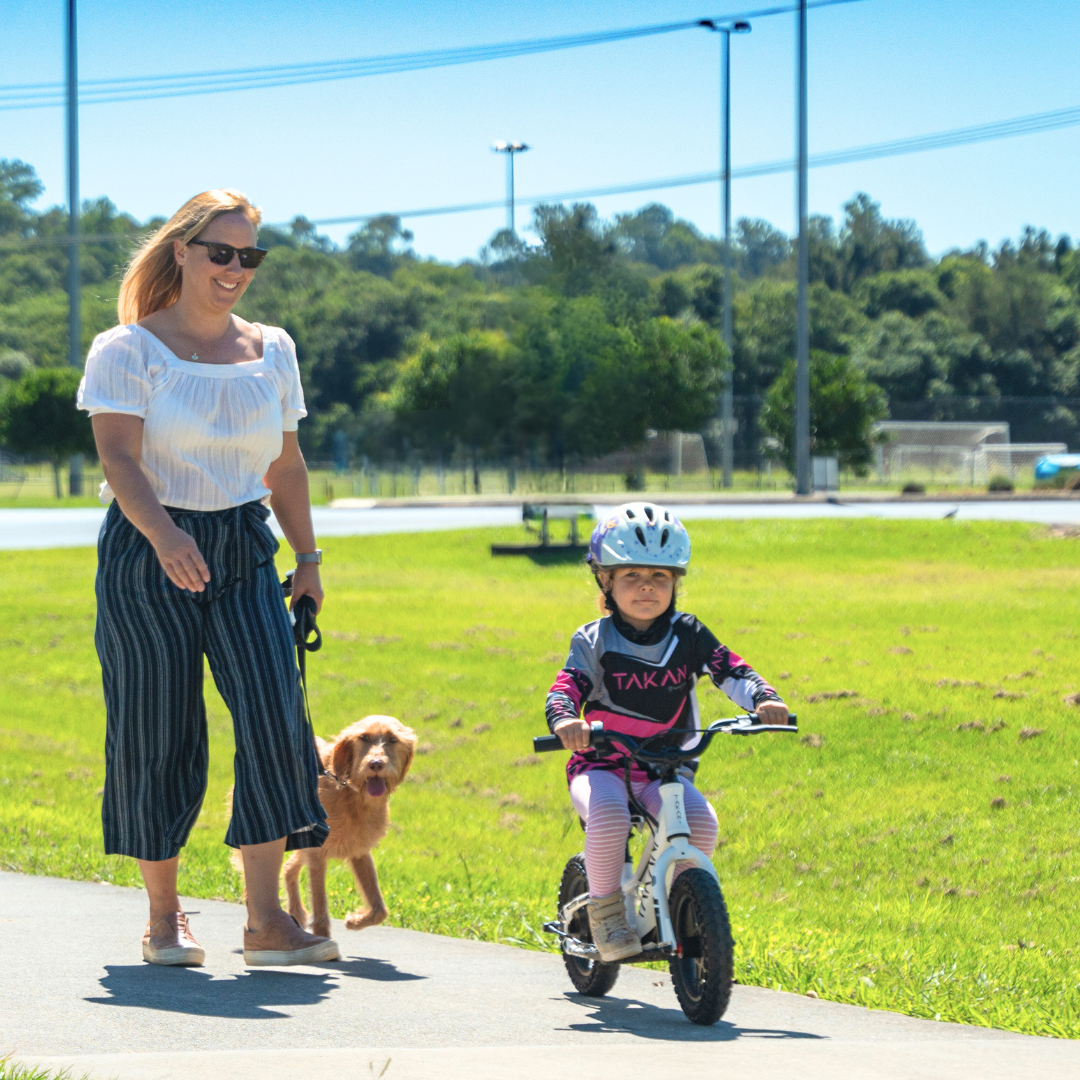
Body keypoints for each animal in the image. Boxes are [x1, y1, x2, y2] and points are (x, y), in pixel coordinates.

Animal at [282, 717, 416, 937]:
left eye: (392, 739)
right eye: (364, 738)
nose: (376, 764)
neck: (350, 793)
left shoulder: (359, 850)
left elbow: (380, 909)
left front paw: (355, 921)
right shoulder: (317, 854)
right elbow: (319, 903)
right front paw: (323, 936)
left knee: (288, 868)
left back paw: (297, 912)